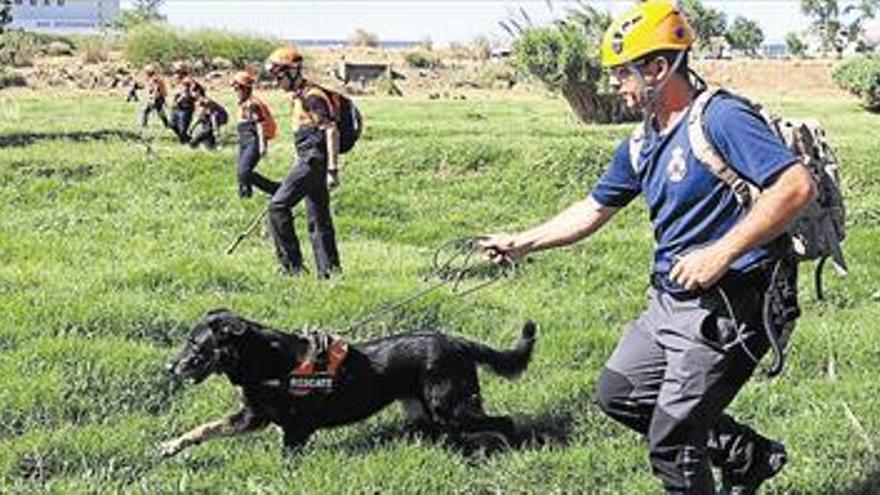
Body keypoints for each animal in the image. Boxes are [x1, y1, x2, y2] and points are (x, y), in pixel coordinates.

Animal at [158, 310, 536, 458]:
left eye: (195, 345)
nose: (169, 367)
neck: (267, 362)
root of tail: (457, 342)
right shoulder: (252, 418)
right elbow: (204, 429)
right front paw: (171, 446)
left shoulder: (296, 430)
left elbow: (287, 458)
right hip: (427, 412)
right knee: (457, 434)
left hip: (451, 407)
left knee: (504, 423)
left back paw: (504, 448)